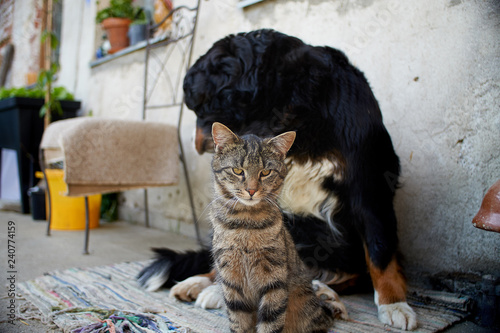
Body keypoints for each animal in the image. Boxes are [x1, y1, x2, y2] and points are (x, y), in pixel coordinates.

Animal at [209, 122, 346, 332]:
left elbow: (270, 322)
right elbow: (238, 320)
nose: (251, 190)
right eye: (238, 171)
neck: (246, 223)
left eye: (265, 173)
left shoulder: (274, 280)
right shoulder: (231, 280)